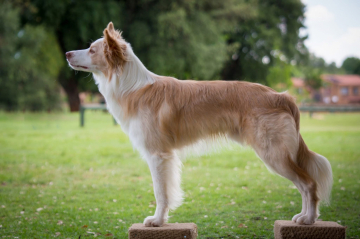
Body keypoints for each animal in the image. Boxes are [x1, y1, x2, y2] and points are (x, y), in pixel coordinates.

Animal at [67, 23, 332, 227]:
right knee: (304, 184)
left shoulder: (158, 155)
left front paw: (157, 221)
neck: (130, 85)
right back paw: (305, 217)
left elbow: (160, 192)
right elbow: (166, 191)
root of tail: (283, 96)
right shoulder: (165, 156)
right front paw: (162, 220)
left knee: (309, 183)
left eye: (91, 50)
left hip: (274, 154)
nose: (68, 53)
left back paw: (309, 219)